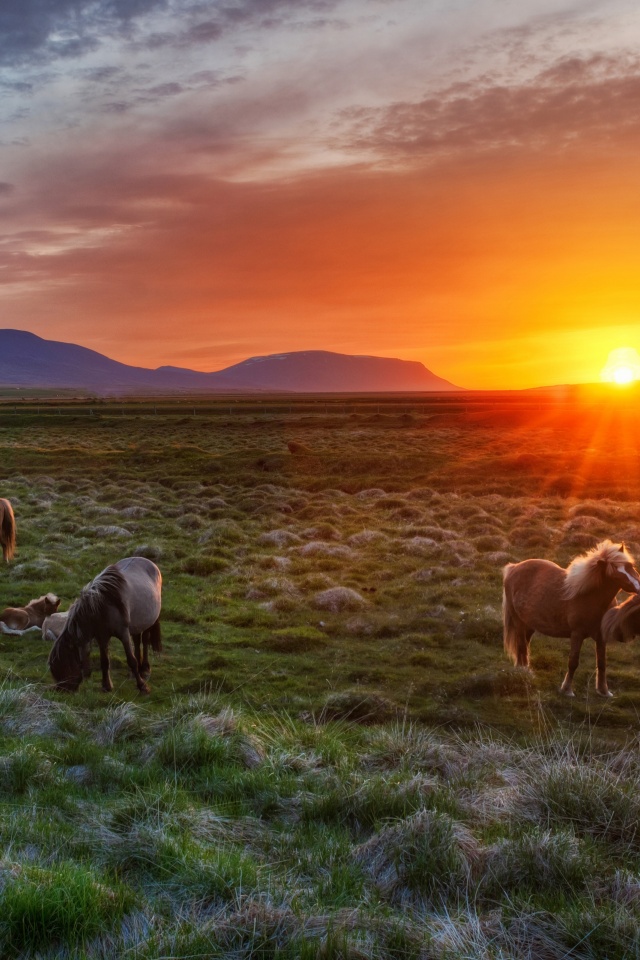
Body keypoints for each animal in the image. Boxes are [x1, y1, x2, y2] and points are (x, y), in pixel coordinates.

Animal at [48, 556, 161, 696]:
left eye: (64, 665)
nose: (61, 690)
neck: (102, 607)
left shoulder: (123, 634)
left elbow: (131, 660)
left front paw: (142, 686)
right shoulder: (102, 637)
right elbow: (104, 662)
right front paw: (107, 686)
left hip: (148, 622)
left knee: (145, 641)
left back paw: (144, 669)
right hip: (137, 624)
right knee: (137, 640)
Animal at [502, 540, 640, 696]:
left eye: (630, 566)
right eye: (615, 575)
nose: (639, 588)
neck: (591, 596)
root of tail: (513, 568)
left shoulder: (601, 637)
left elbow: (602, 663)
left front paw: (604, 691)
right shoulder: (577, 634)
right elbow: (573, 662)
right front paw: (567, 690)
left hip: (529, 624)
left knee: (524, 645)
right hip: (518, 622)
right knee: (521, 646)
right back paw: (524, 673)